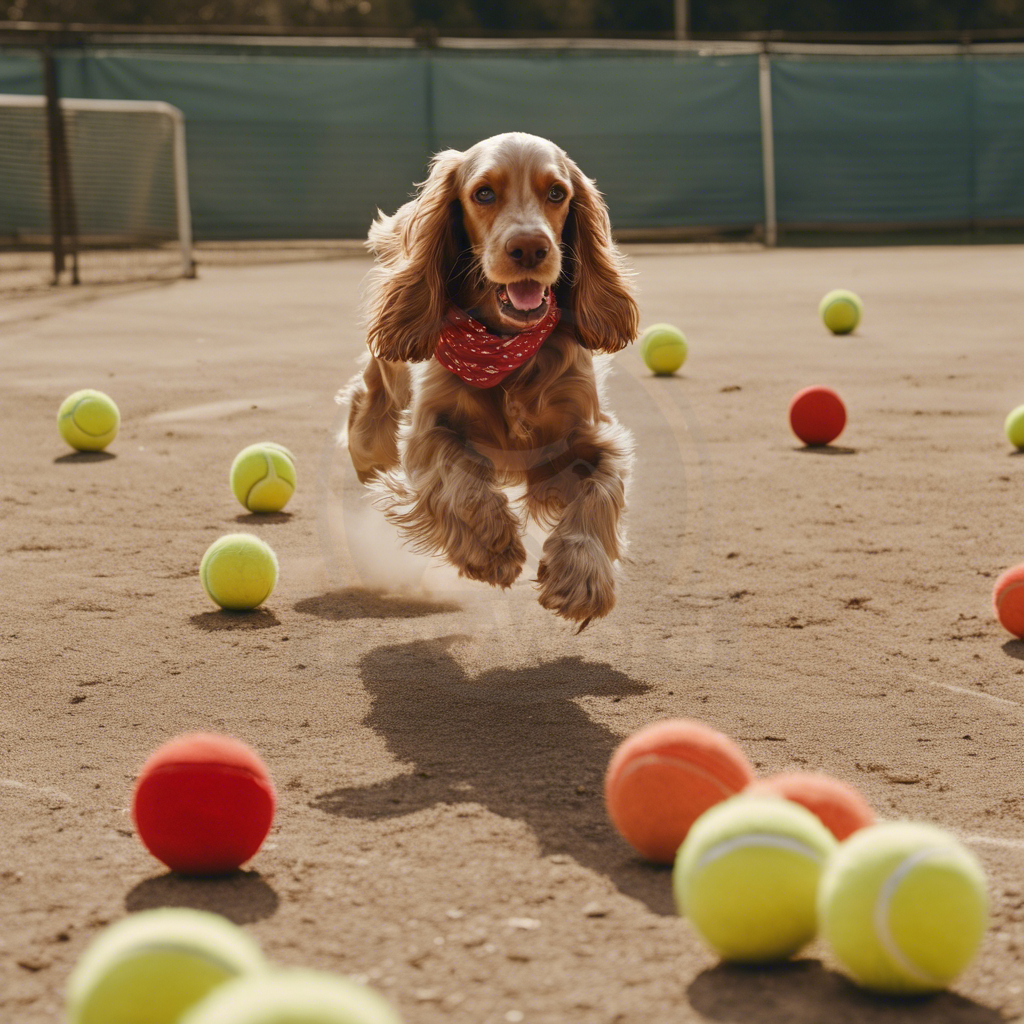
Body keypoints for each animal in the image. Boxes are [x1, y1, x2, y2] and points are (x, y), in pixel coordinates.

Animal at [352, 132, 638, 626]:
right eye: (484, 193)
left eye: (557, 193)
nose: (530, 248)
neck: (506, 351)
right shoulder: (428, 429)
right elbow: (459, 474)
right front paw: (491, 549)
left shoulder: (587, 436)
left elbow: (601, 490)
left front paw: (581, 577)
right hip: (383, 399)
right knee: (364, 412)